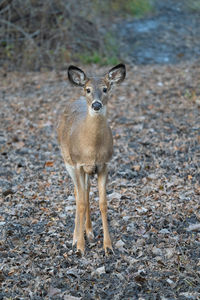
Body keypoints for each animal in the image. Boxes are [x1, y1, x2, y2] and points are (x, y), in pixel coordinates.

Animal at [57, 63, 125, 255]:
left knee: (86, 192)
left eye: (105, 88)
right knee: (78, 193)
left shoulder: (104, 165)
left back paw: (89, 232)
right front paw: (79, 247)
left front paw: (108, 246)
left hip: (88, 170)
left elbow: (103, 203)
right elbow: (80, 202)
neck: (91, 148)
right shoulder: (78, 165)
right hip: (68, 161)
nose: (96, 104)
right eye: (88, 89)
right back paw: (76, 237)